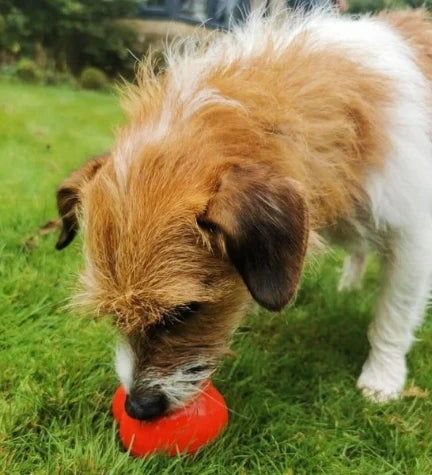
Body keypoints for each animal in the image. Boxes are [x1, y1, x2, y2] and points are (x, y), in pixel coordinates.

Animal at [54, 9, 432, 420]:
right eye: (113, 315)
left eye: (184, 312)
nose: (138, 408)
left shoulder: (412, 241)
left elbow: (393, 316)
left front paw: (382, 378)